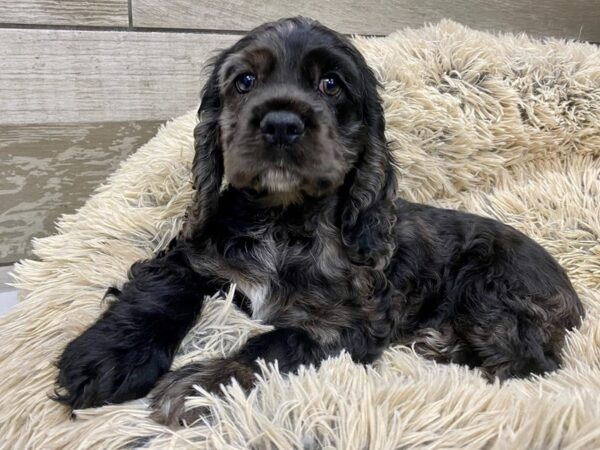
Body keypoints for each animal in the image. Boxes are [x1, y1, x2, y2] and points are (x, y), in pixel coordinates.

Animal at [54, 17, 584, 426]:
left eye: (331, 84)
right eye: (244, 81)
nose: (281, 124)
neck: (282, 220)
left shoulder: (352, 322)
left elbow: (276, 343)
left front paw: (200, 384)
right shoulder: (190, 256)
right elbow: (158, 294)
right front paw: (104, 360)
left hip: (490, 289)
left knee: (532, 359)